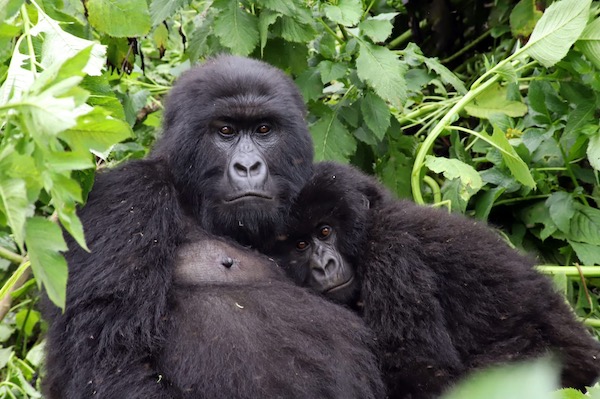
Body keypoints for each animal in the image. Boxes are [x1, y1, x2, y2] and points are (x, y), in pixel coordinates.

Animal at [274, 162, 600, 399]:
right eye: (300, 245)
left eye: (325, 231)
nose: (323, 265)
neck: (371, 228)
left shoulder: (393, 256)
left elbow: (422, 371)